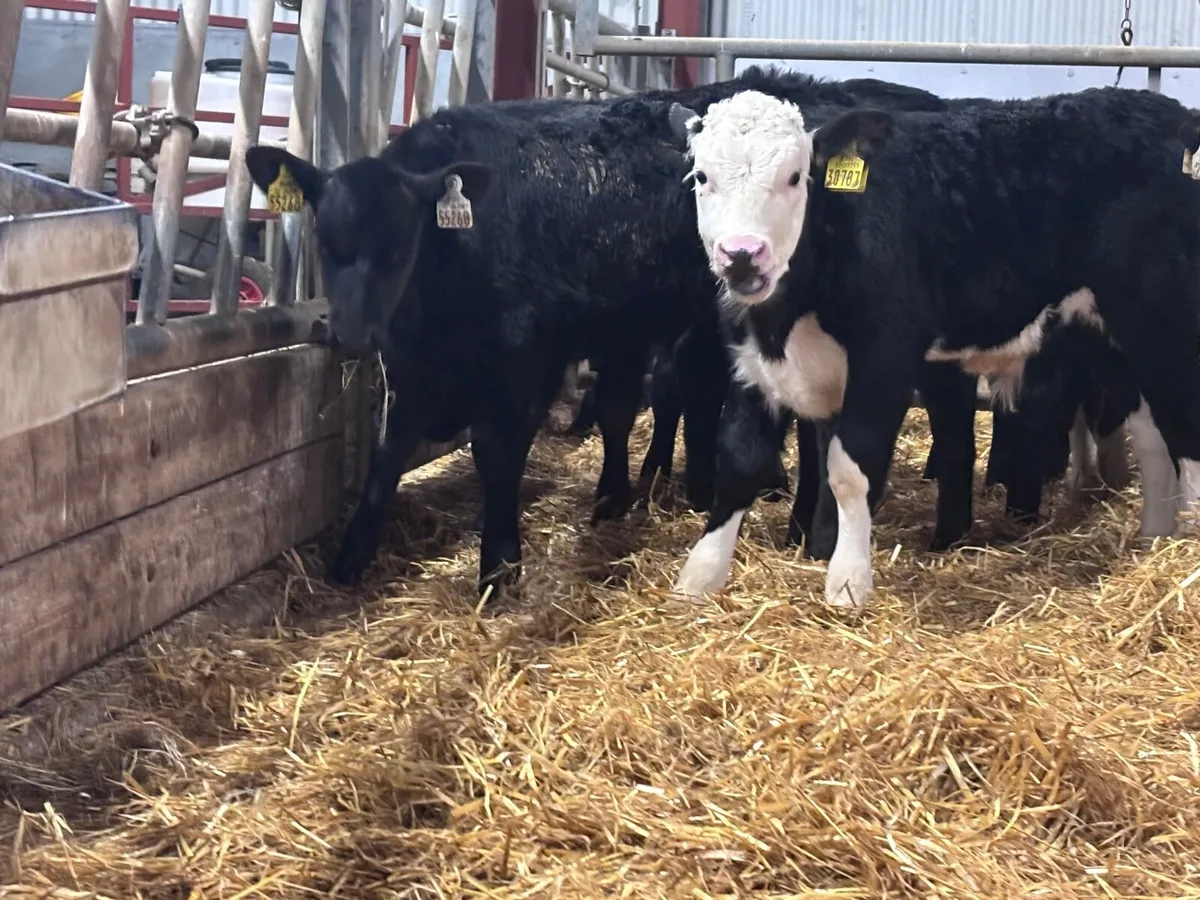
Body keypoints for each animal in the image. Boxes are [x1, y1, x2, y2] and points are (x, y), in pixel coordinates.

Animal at [243, 67, 960, 603]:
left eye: (399, 247)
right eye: (325, 243)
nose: (349, 332)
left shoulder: (520, 359)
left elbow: (497, 452)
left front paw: (499, 566)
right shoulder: (413, 368)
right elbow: (388, 451)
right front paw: (351, 557)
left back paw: (802, 527)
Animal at [667, 86, 1200, 609]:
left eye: (796, 177)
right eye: (702, 176)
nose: (741, 255)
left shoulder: (884, 361)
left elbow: (850, 469)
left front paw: (847, 584)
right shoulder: (749, 360)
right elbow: (740, 458)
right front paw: (700, 578)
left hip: (1166, 322)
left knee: (1183, 429)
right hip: (1111, 341)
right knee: (1153, 435)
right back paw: (1155, 538)